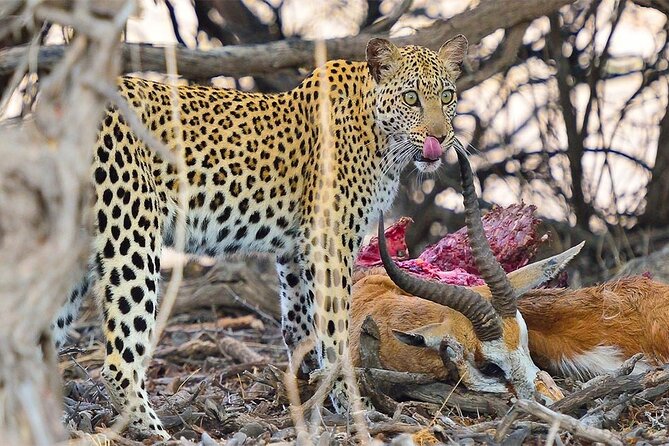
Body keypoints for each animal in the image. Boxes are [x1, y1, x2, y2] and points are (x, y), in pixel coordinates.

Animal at [52, 35, 468, 440]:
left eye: (447, 95)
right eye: (411, 97)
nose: (440, 137)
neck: (382, 140)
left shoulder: (295, 251)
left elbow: (299, 325)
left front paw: (307, 389)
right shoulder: (330, 240)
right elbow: (334, 330)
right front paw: (349, 404)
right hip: (133, 233)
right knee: (119, 361)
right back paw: (157, 431)